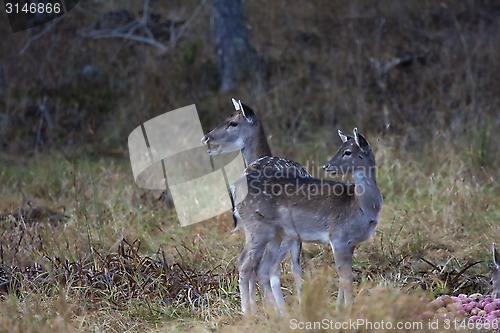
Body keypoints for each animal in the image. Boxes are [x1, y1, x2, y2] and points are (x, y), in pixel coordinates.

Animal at [200, 97, 308, 312]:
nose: (207, 137)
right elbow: (294, 266)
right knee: (262, 266)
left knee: (253, 265)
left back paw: (253, 309)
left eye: (232, 122)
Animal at [234, 126, 382, 312]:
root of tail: (235, 189)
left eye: (347, 152)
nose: (326, 166)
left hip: (272, 233)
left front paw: (338, 309)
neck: (360, 206)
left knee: (261, 268)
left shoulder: (351, 243)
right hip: (258, 228)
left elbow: (343, 278)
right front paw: (348, 310)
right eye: (340, 149)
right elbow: (346, 278)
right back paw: (249, 313)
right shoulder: (338, 237)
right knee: (244, 264)